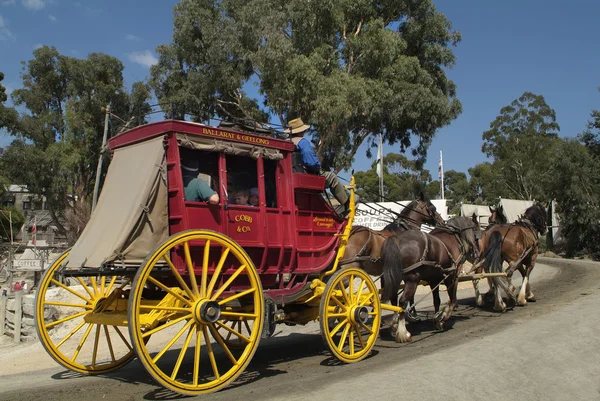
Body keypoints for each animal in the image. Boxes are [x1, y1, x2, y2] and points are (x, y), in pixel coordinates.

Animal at [380, 214, 482, 342]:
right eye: (477, 233)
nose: (478, 253)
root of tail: (396, 239)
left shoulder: (434, 280)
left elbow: (437, 300)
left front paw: (437, 318)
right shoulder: (451, 275)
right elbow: (453, 300)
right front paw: (442, 318)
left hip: (394, 278)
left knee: (393, 300)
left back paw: (394, 326)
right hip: (412, 280)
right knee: (402, 302)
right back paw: (403, 333)